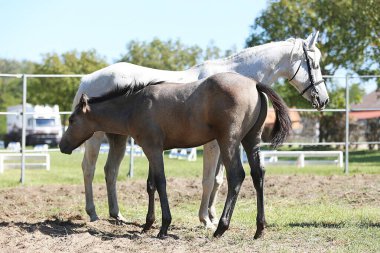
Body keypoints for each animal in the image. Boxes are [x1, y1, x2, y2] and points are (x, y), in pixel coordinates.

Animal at [72, 31, 328, 227]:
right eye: (314, 64)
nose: (323, 99)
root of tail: (87, 79)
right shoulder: (213, 143)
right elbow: (208, 179)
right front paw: (205, 219)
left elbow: (219, 179)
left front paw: (212, 216)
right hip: (95, 137)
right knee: (88, 168)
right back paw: (92, 213)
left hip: (118, 138)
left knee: (110, 171)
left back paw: (117, 215)